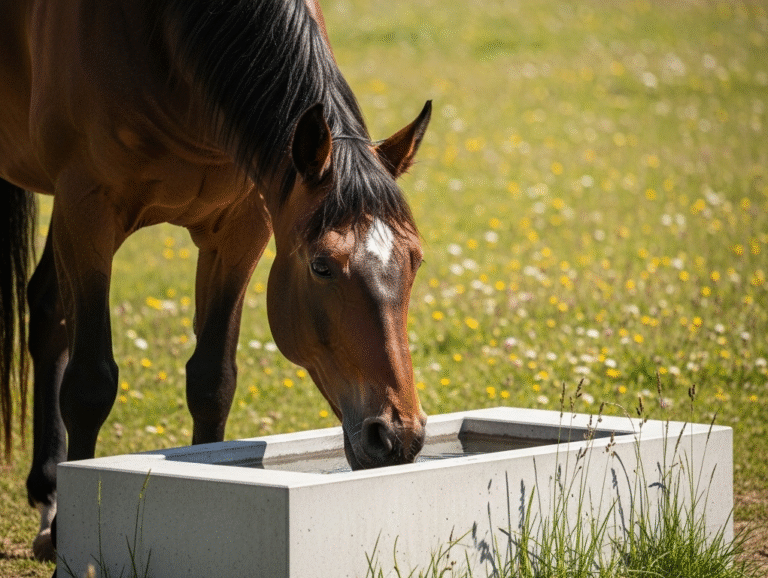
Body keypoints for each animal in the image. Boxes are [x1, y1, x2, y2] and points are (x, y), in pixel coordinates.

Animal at [0, 0, 431, 565]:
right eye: (321, 266)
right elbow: (90, 385)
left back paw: (50, 500)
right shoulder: (87, 210)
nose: (398, 436)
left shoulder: (241, 226)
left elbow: (212, 381)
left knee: (48, 307)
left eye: (415, 261)